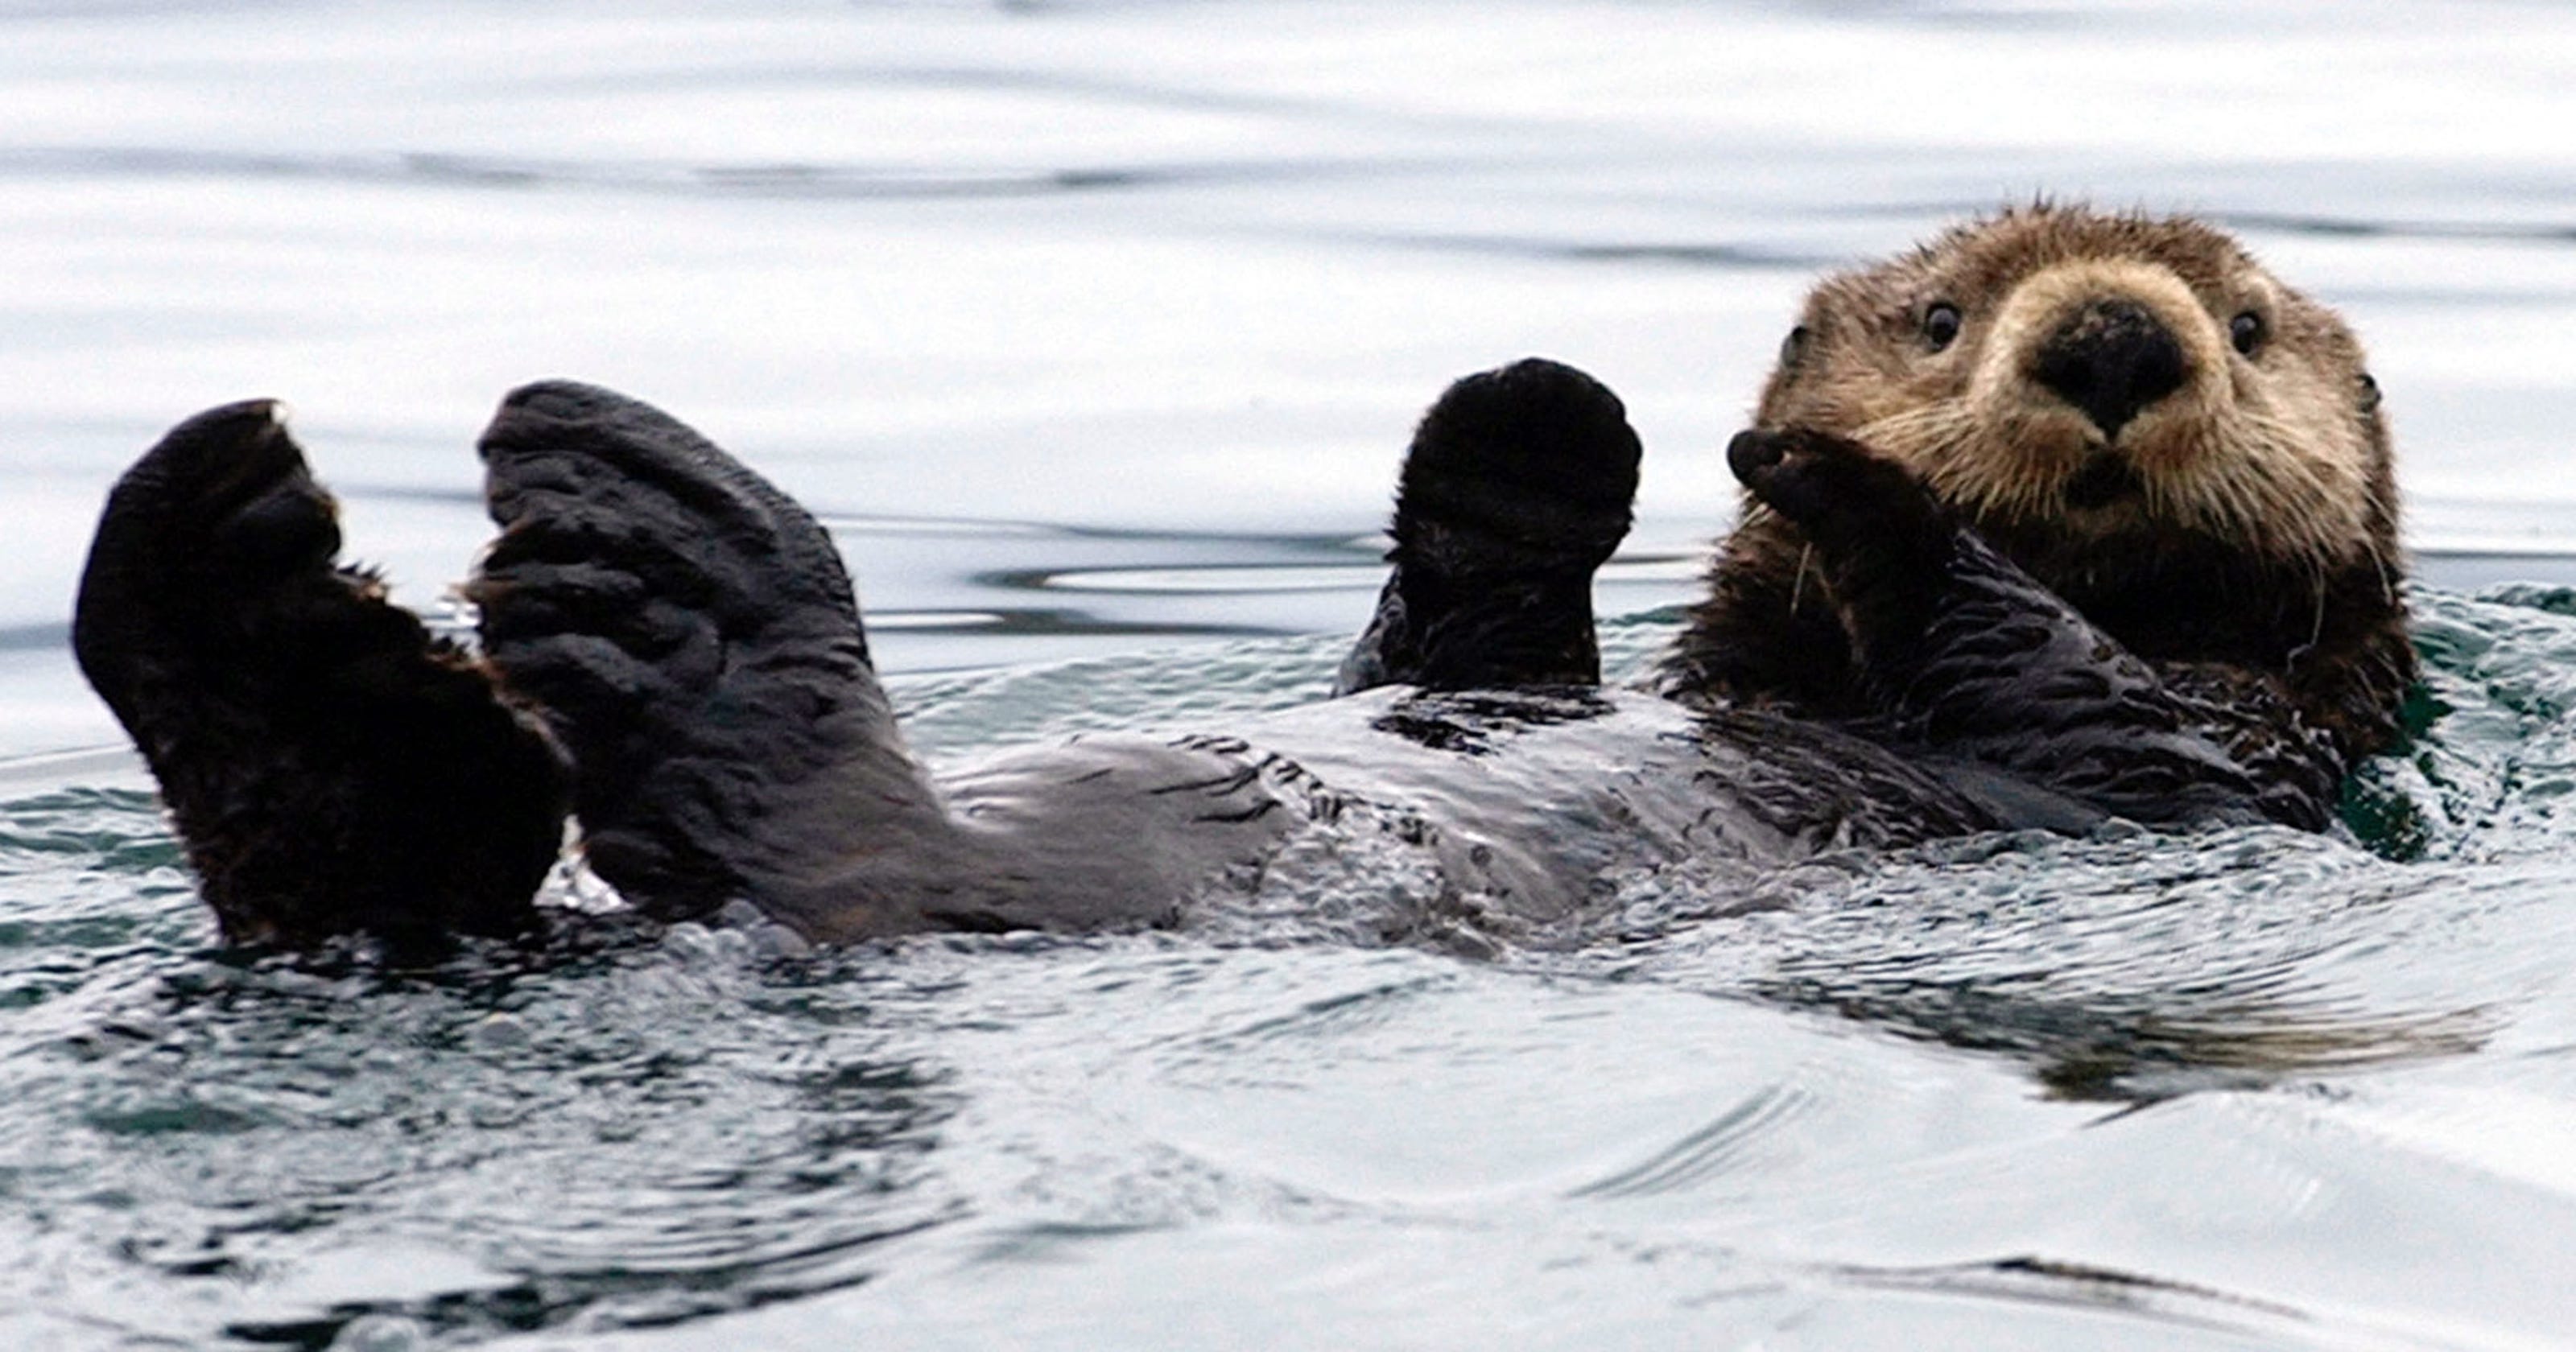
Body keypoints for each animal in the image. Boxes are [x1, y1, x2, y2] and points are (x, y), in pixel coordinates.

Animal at [69, 206, 2411, 953]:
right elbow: (1464, 629)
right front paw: (1531, 429)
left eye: (2250, 330)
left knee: (822, 847)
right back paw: (263, 621)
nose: (2108, 339)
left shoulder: (2216, 753)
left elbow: (2060, 678)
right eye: (1940, 318)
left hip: (891, 875)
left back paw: (643, 579)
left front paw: (1825, 478)